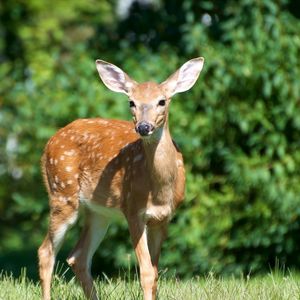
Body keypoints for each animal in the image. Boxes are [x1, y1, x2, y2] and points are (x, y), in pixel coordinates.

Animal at [38, 56, 204, 300]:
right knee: (46, 252)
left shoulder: (164, 218)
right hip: (62, 194)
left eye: (162, 101)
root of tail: (49, 143)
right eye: (131, 102)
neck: (159, 190)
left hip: (99, 212)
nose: (144, 126)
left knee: (78, 256)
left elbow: (155, 274)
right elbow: (146, 273)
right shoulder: (132, 210)